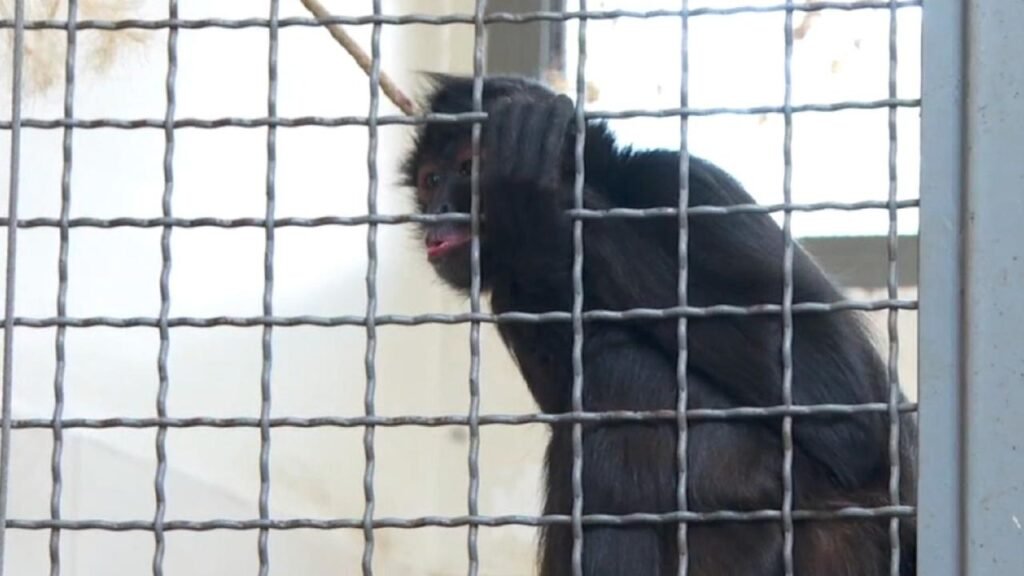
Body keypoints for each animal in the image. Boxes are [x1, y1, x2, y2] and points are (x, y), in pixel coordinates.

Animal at [401, 74, 917, 576]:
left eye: (466, 170)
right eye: (431, 181)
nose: (438, 213)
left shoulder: (687, 181)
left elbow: (850, 413)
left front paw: (544, 193)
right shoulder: (515, 289)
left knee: (624, 385)